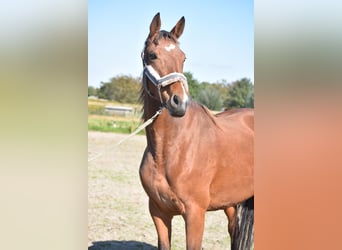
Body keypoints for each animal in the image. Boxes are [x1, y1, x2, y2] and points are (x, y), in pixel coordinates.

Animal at [139, 12, 254, 249]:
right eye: (153, 55)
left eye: (183, 58)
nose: (179, 102)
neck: (168, 152)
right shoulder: (158, 212)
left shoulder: (195, 214)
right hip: (232, 203)